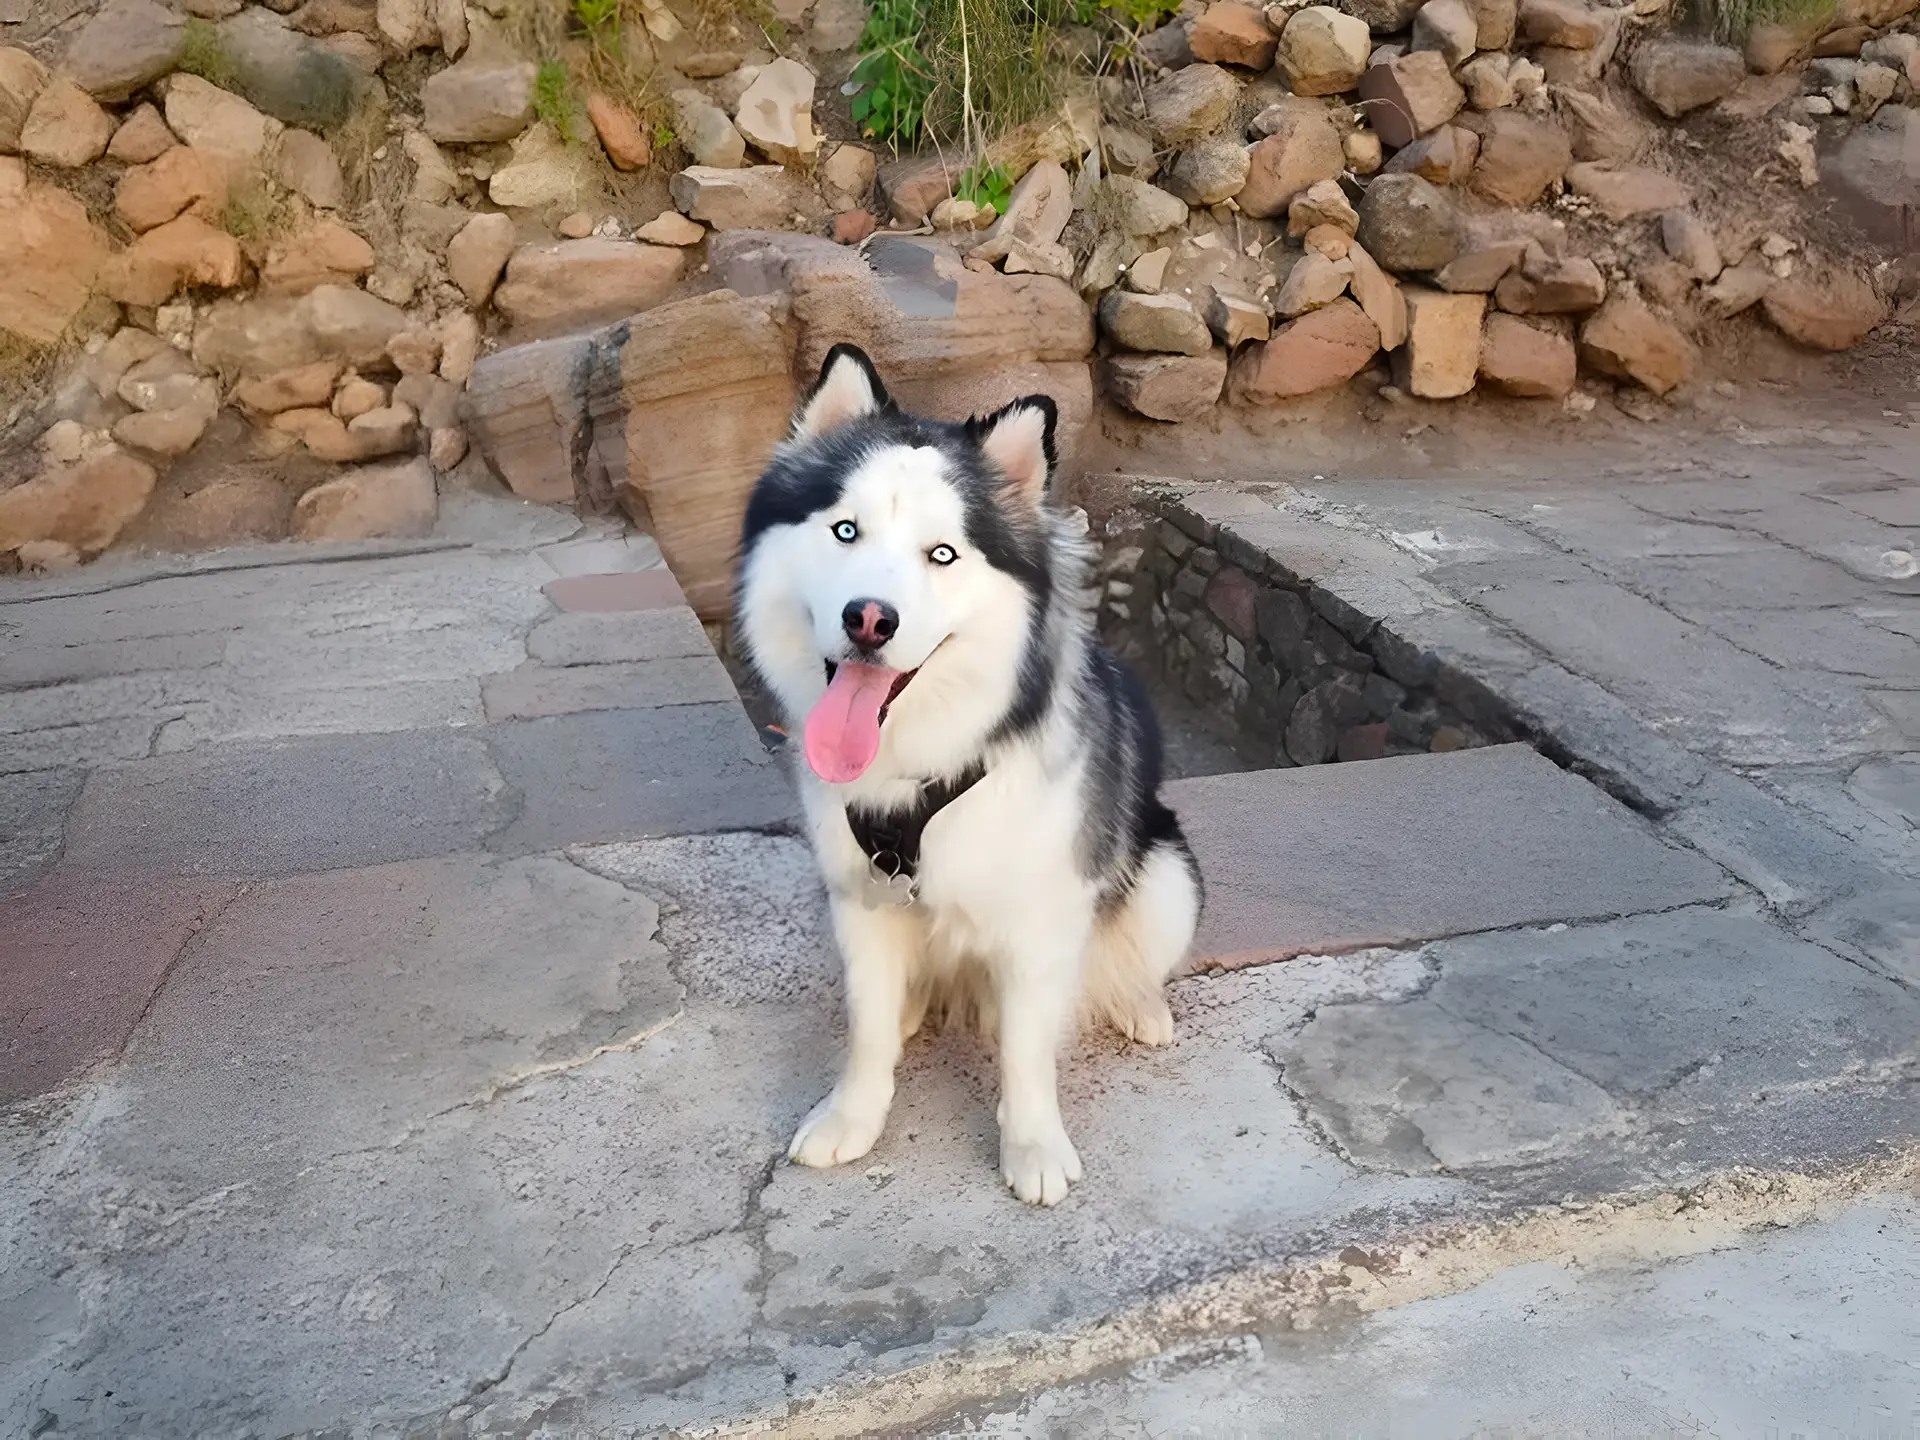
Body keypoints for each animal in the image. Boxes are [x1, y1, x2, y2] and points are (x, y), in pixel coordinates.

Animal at [733, 343, 1198, 1198]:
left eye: (942, 554)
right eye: (845, 530)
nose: (868, 619)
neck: (924, 766)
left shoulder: (1043, 918)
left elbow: (1025, 1051)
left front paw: (1034, 1145)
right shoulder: (859, 900)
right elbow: (867, 1028)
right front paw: (853, 1117)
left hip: (1166, 876)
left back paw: (1140, 1005)